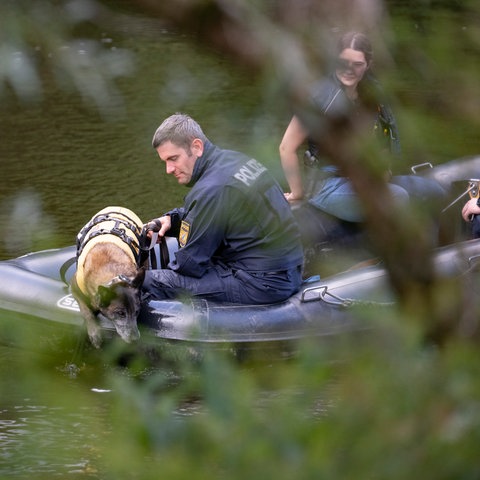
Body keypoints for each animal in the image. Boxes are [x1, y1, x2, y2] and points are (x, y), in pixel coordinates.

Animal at [71, 206, 146, 348]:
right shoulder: (74, 288)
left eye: (137, 312)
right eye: (120, 313)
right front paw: (94, 334)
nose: (135, 339)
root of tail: (118, 207)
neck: (114, 277)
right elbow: (86, 312)